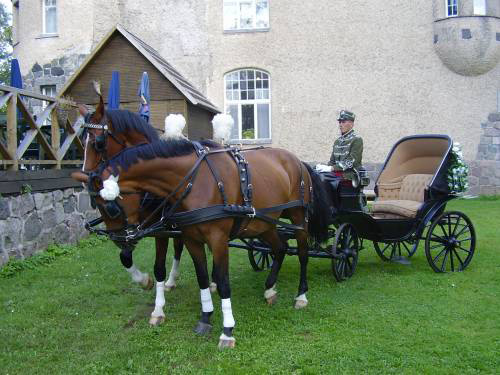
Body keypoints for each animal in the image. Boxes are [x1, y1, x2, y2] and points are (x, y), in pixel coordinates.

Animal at [72, 136, 332, 350]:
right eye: (97, 206)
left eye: (111, 208)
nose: (120, 241)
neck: (194, 181)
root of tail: (298, 161)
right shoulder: (190, 238)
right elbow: (202, 277)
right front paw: (205, 317)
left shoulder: (217, 239)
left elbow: (223, 282)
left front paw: (227, 331)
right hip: (264, 223)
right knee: (279, 248)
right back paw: (269, 289)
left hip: (298, 218)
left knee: (302, 254)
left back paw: (301, 296)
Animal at [73, 94, 191, 326]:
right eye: (81, 140)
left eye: (98, 142)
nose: (85, 178)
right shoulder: (130, 229)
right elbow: (125, 257)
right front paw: (144, 281)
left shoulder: (159, 230)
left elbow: (159, 267)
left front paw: (158, 310)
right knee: (180, 247)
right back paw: (172, 281)